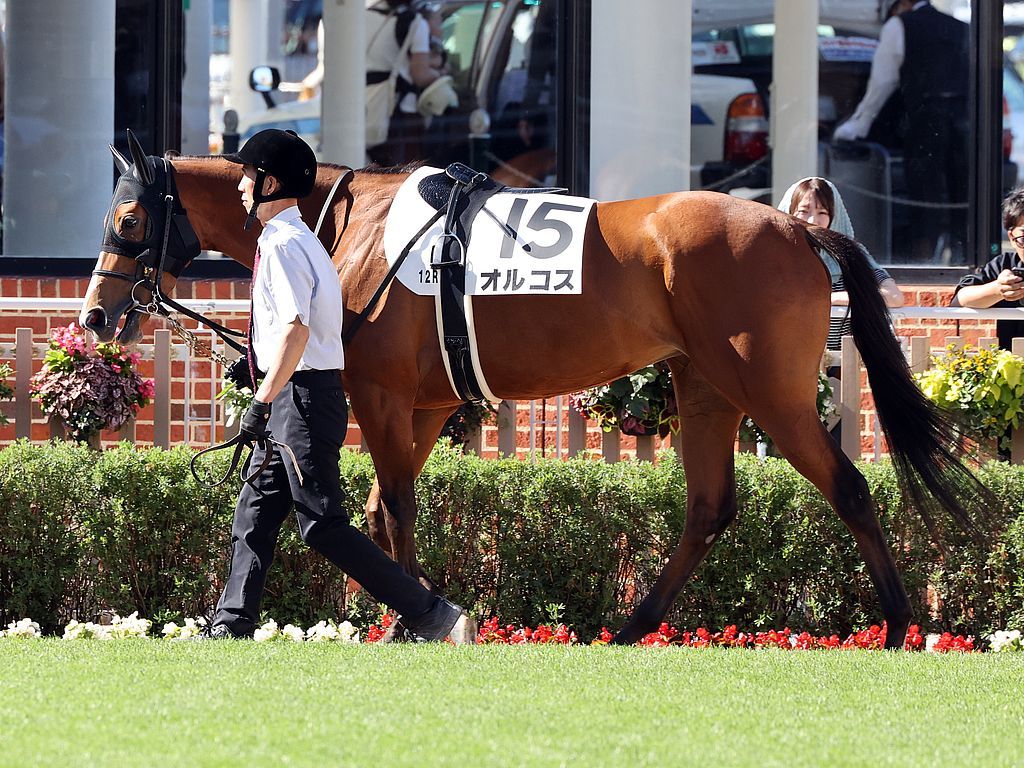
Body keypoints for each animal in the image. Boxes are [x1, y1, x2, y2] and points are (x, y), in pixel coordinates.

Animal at [81, 134, 994, 648]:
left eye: (127, 222)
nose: (95, 315)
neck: (351, 224)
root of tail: (799, 229)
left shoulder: (382, 393)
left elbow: (391, 507)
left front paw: (411, 616)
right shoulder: (425, 404)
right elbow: (379, 506)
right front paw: (397, 609)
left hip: (768, 390)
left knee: (848, 487)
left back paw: (897, 626)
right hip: (706, 387)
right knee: (708, 508)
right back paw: (630, 627)